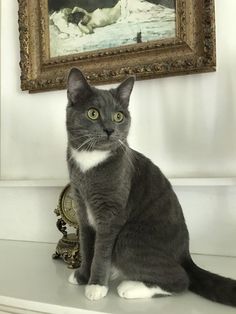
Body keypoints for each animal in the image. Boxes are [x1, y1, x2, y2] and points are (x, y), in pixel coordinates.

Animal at [66, 67, 236, 306]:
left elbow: (100, 251)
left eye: (118, 116)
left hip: (129, 239)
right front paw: (82, 276)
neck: (89, 161)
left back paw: (130, 287)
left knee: (181, 280)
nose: (110, 130)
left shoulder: (111, 213)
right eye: (93, 113)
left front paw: (96, 286)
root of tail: (186, 254)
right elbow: (86, 244)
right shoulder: (82, 206)